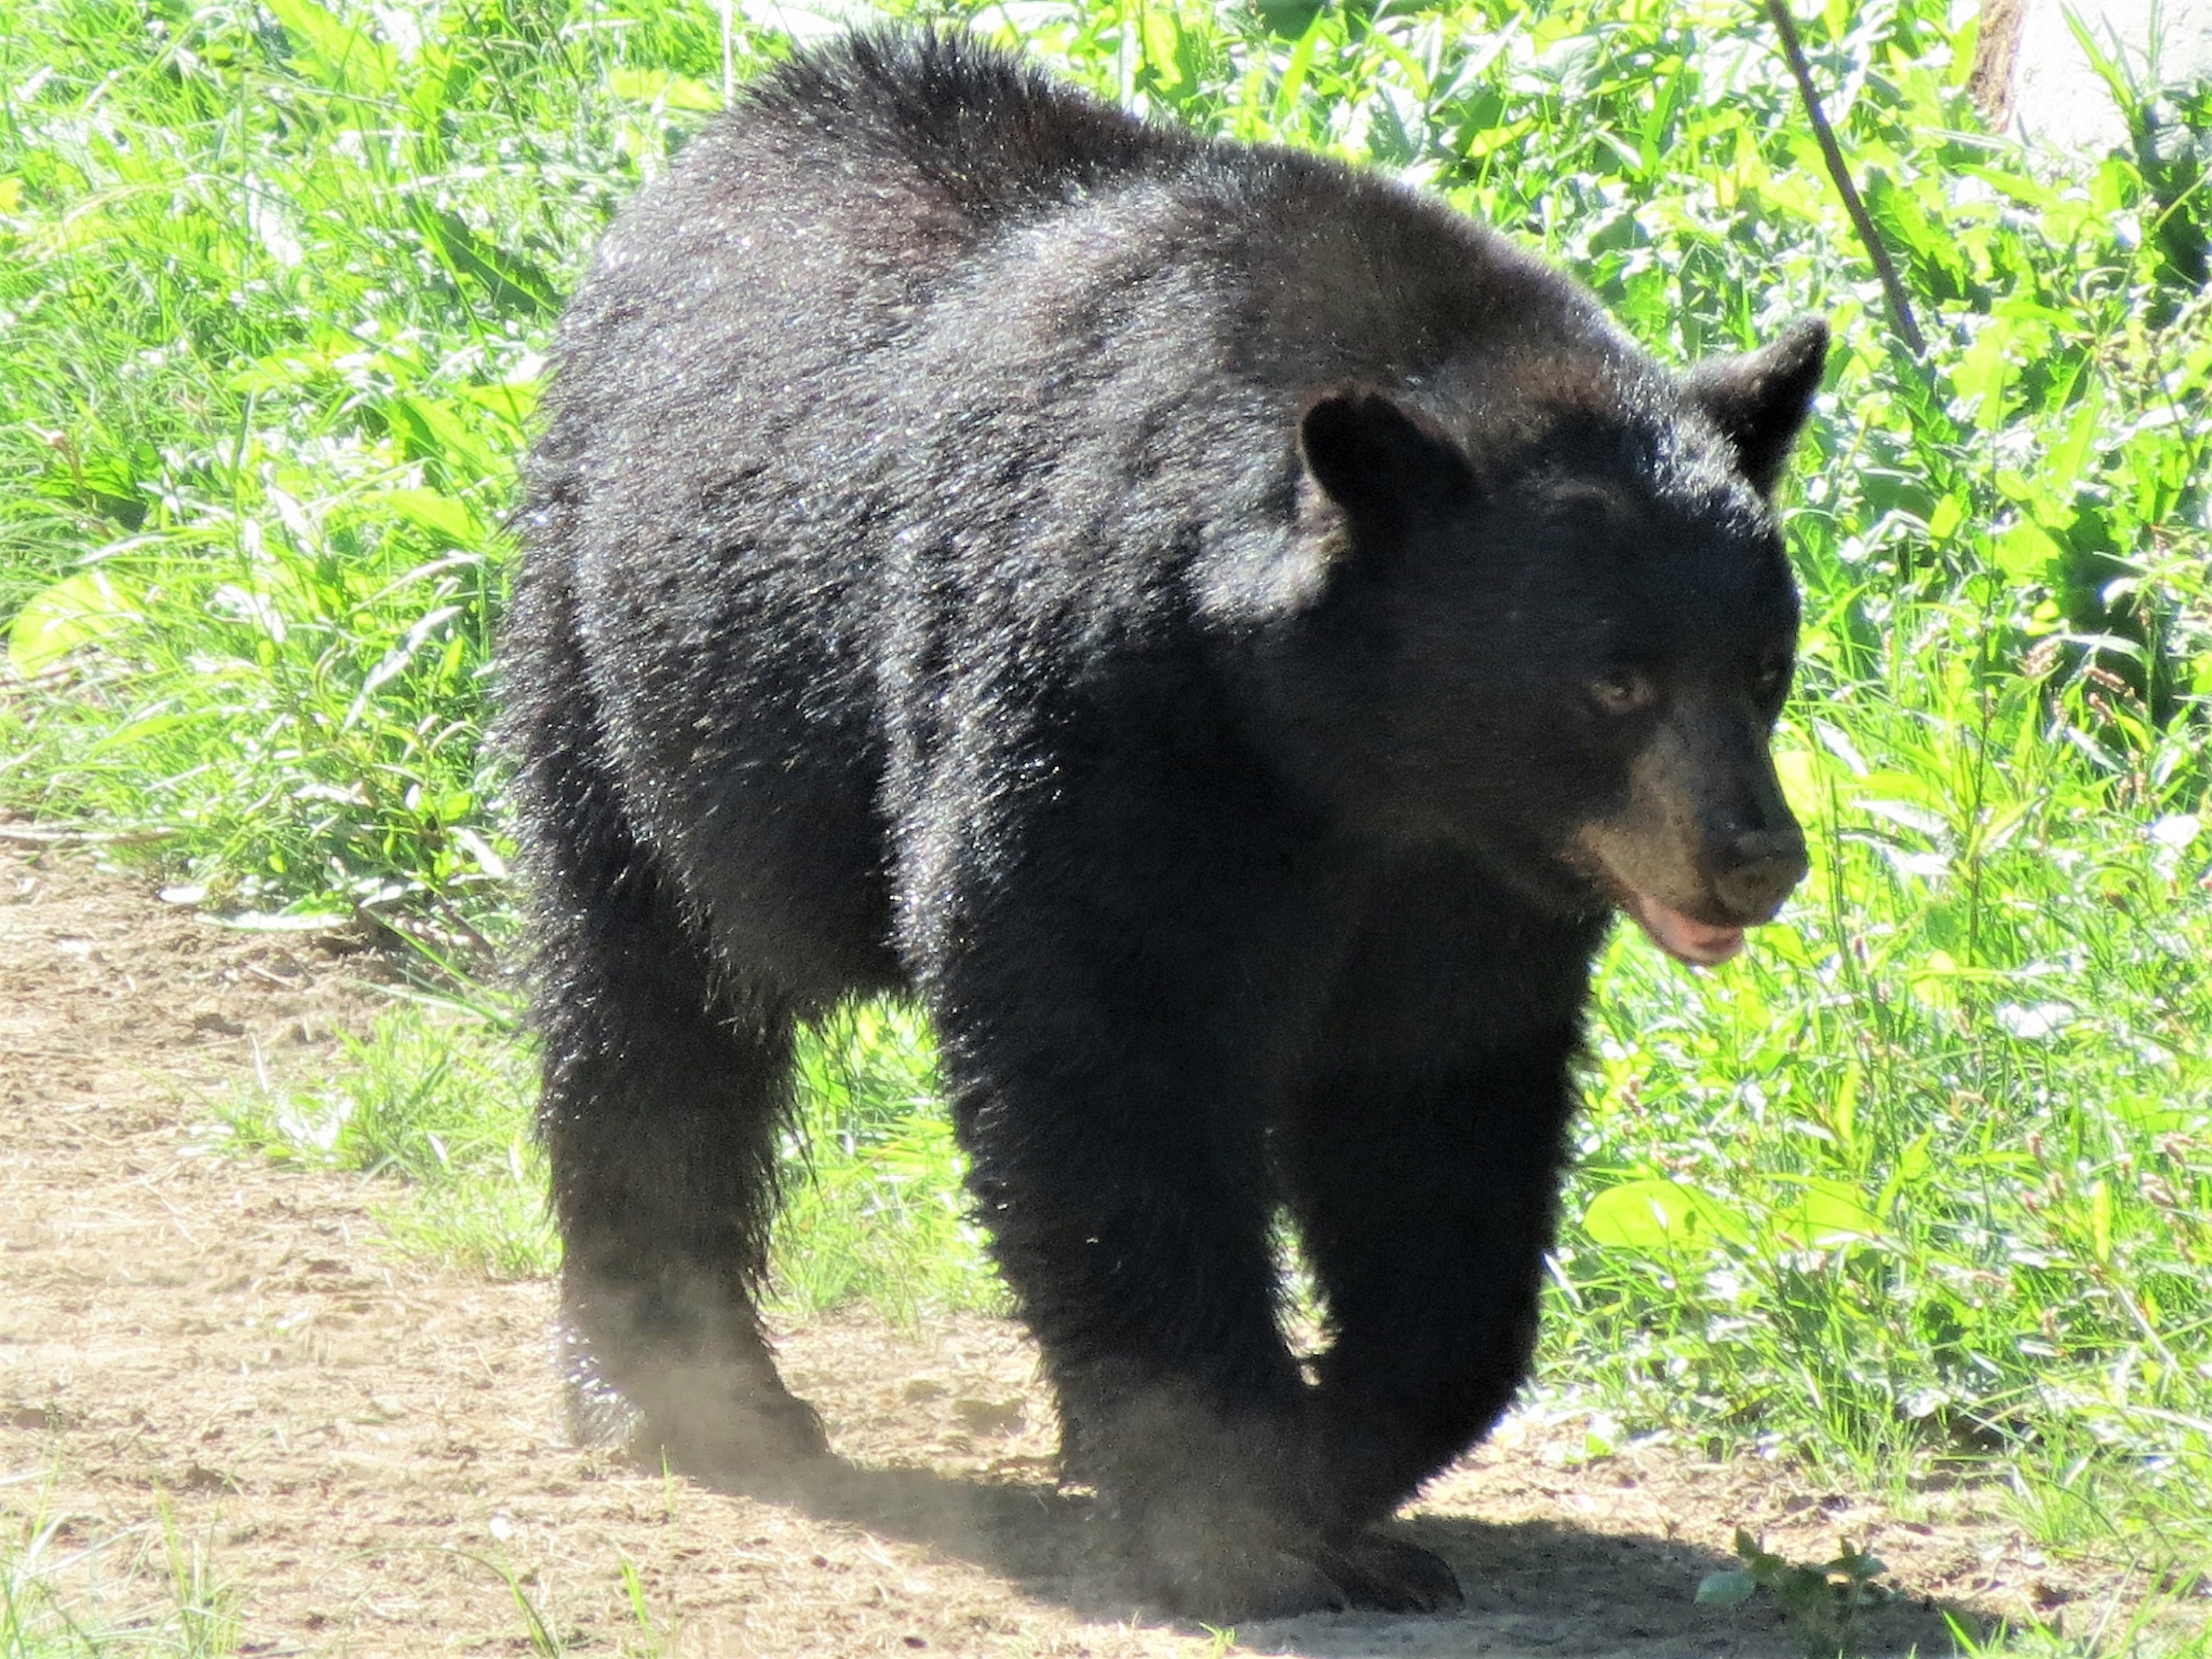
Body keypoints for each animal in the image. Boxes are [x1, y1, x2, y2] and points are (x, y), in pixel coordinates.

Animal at [499, 27, 1824, 1623]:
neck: (1346, 759)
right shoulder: (1095, 720)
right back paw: (678, 1386)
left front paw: (1341, 1458)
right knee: (647, 1004)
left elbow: (1441, 1118)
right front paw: (1231, 1511)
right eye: (1614, 677)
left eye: (1765, 660)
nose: (1756, 856)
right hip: (623, 659)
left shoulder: (1460, 892)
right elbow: (1106, 1063)